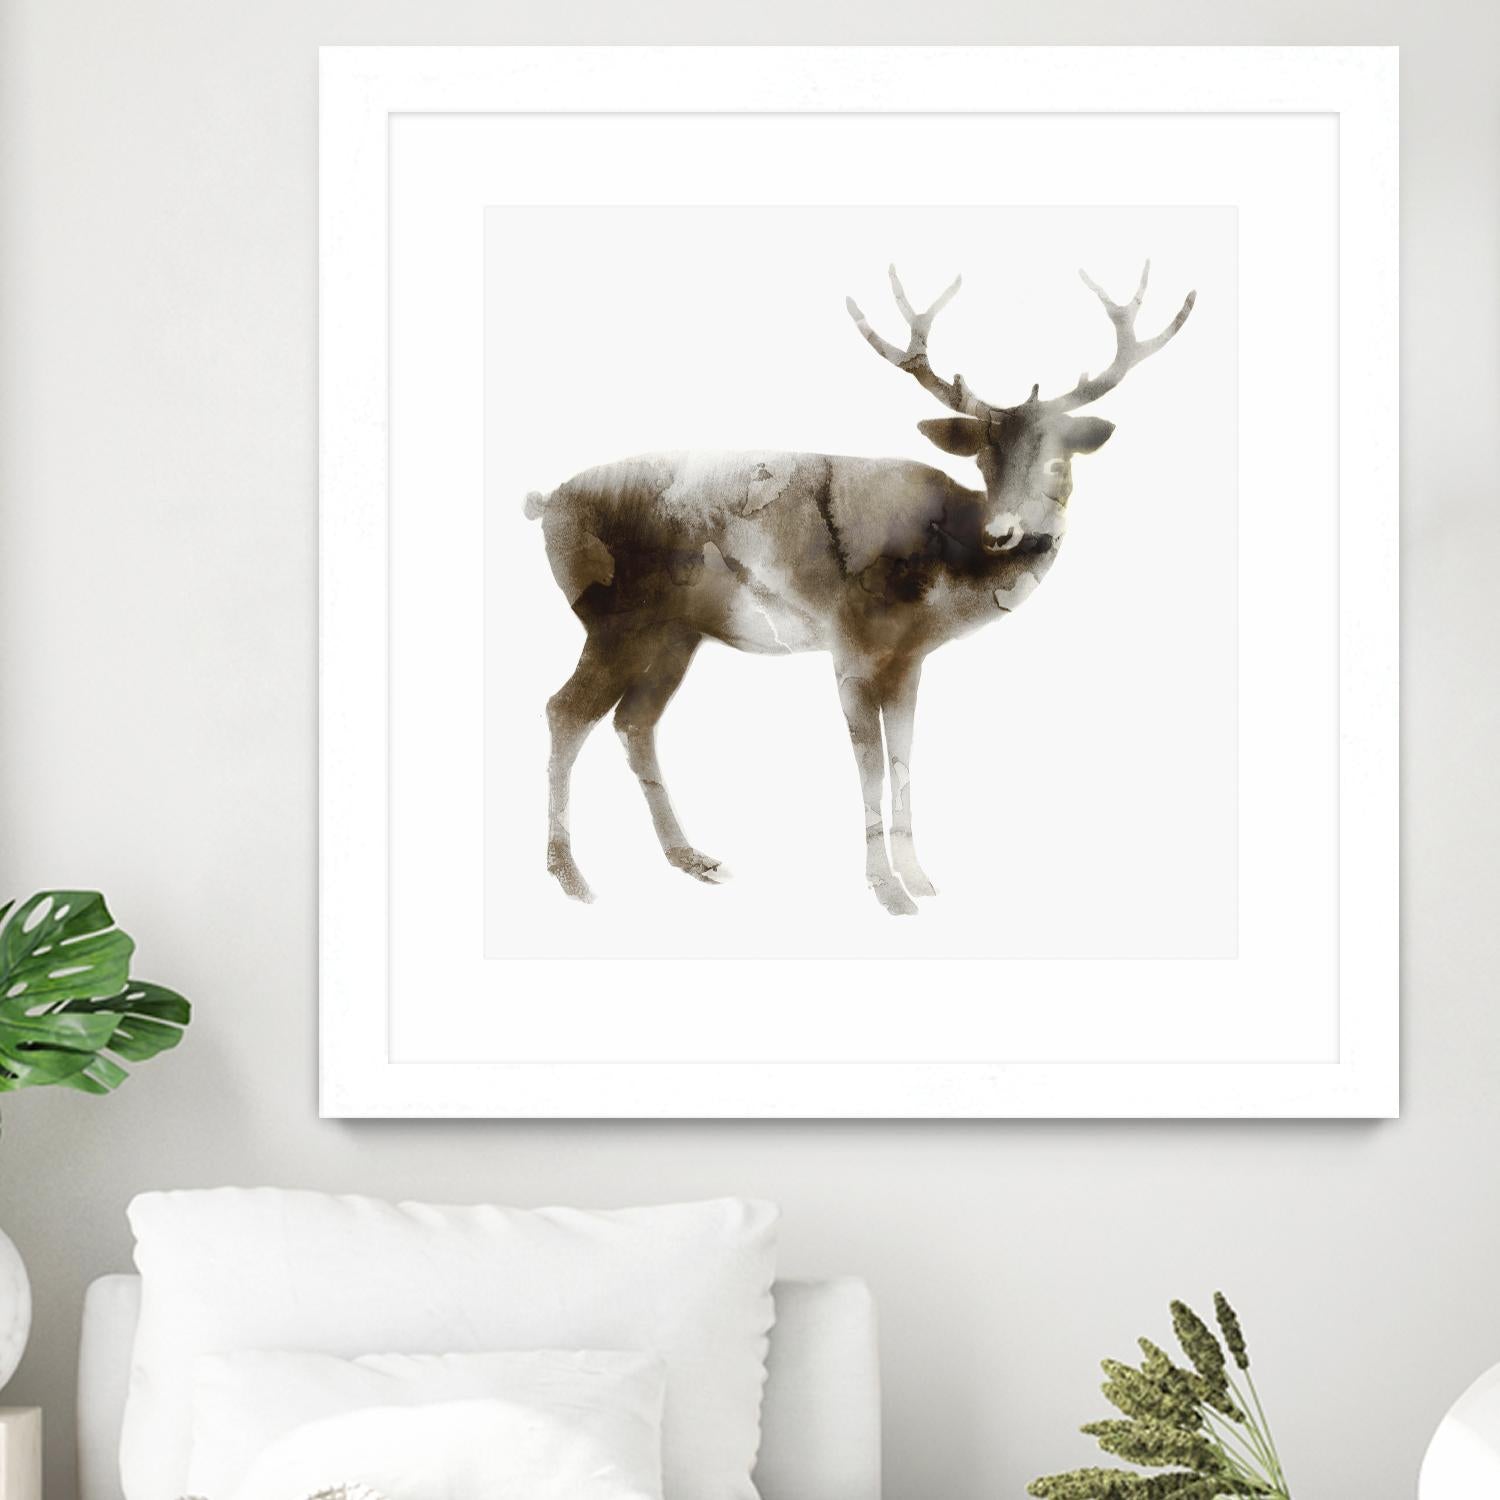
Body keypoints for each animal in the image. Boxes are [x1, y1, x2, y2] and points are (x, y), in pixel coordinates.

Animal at [526, 262, 1195, 915]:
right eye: (983, 460)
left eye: (1059, 460)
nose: (1004, 532)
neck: (942, 579)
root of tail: (545, 503)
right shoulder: (849, 645)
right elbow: (869, 764)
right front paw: (886, 890)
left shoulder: (909, 660)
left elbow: (903, 758)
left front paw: (920, 878)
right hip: (613, 620)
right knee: (565, 711)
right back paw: (571, 876)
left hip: (675, 634)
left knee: (634, 722)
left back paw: (691, 858)